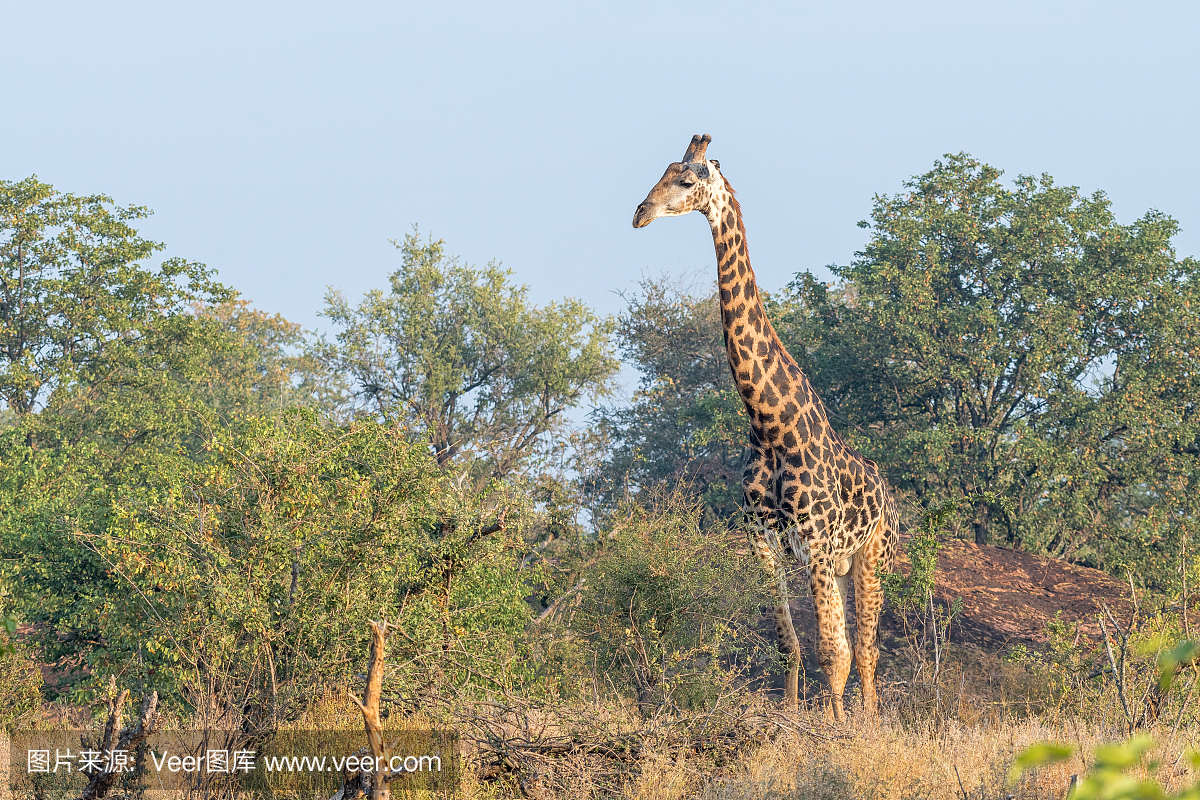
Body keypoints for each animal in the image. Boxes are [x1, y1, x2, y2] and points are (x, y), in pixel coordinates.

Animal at [633, 134, 897, 724]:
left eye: (687, 179)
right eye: (662, 171)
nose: (639, 213)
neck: (770, 426)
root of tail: (890, 493)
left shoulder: (817, 545)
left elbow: (833, 651)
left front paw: (836, 728)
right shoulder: (765, 543)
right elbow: (791, 645)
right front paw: (795, 718)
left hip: (873, 556)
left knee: (867, 649)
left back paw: (870, 722)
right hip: (842, 565)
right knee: (856, 645)